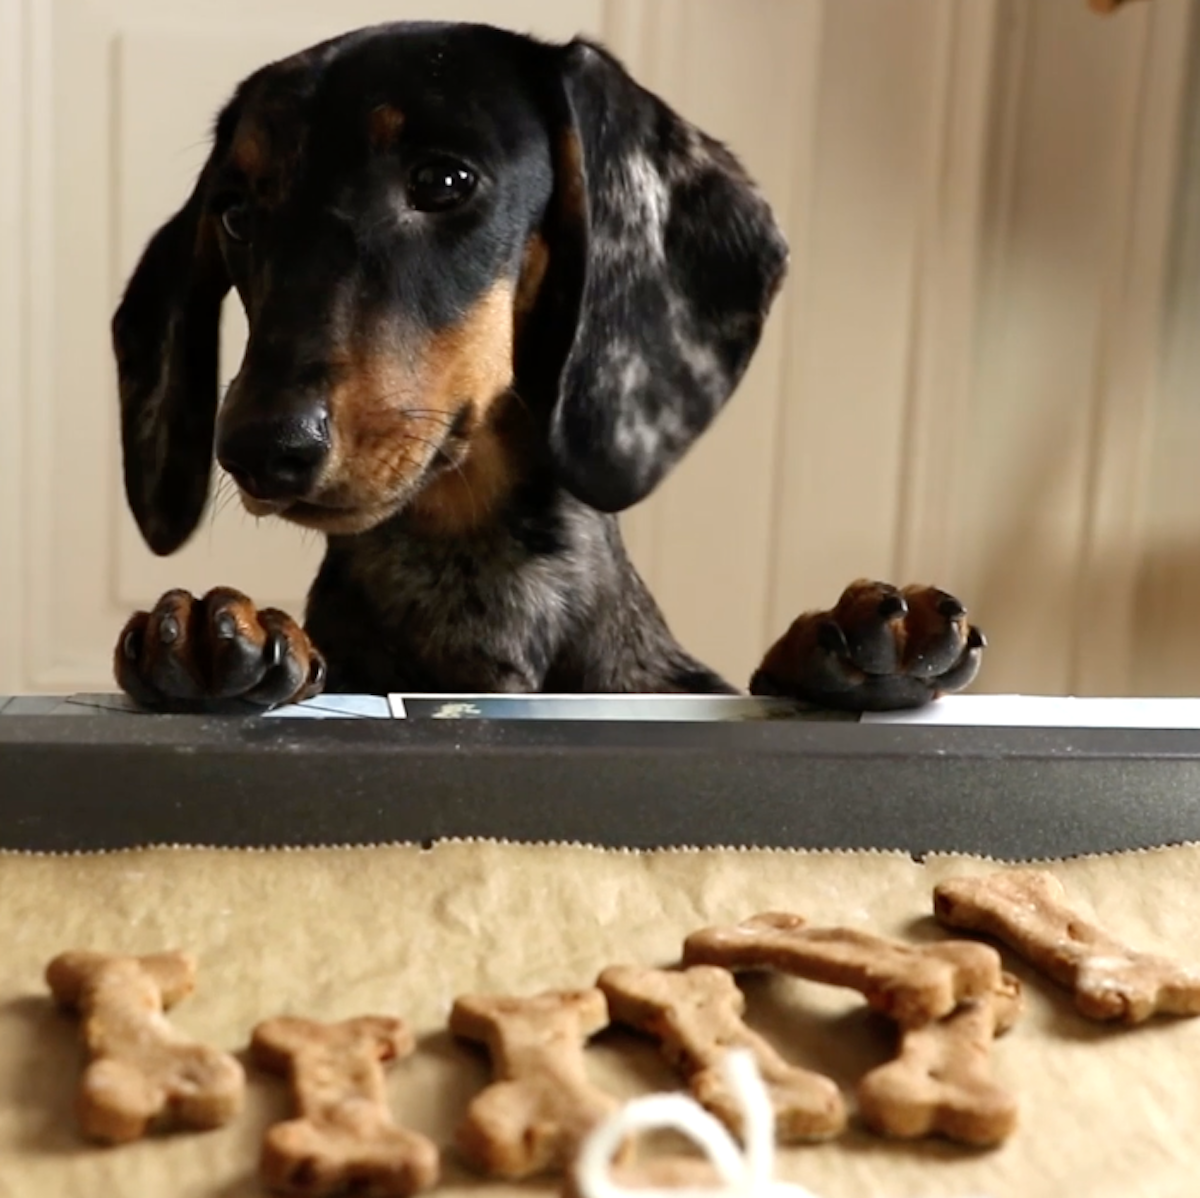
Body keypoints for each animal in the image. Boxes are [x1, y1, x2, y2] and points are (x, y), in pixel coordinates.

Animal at [112, 21, 984, 710]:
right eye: (234, 213)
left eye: (443, 179)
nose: (261, 448)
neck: (477, 577)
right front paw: (214, 629)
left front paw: (843, 640)